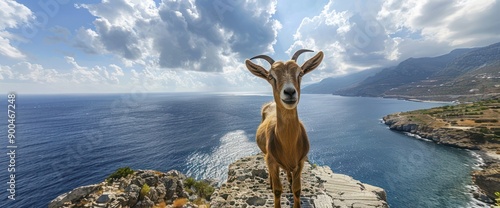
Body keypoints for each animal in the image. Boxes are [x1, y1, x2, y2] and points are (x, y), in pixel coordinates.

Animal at [245, 49, 324, 208]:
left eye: (300, 73)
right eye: (271, 76)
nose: (289, 92)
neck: (288, 145)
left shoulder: (301, 161)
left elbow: (297, 189)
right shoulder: (271, 160)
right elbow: (277, 190)